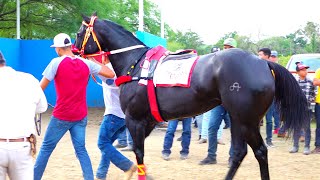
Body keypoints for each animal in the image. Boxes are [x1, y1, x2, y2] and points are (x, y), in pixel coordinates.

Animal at [74, 13, 308, 180]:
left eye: (79, 33)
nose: (74, 51)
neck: (137, 64)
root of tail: (262, 63)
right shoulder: (147, 121)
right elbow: (130, 151)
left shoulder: (135, 119)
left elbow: (138, 153)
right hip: (238, 119)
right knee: (241, 153)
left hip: (246, 120)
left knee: (259, 151)